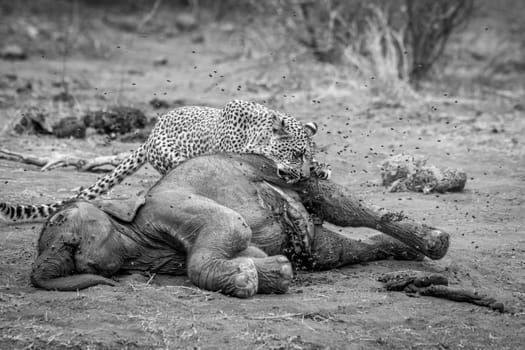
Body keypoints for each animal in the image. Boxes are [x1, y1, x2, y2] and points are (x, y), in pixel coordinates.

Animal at [0, 100, 330, 223]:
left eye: (307, 155)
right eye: (296, 154)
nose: (302, 176)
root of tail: (150, 133)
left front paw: (321, 169)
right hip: (169, 157)